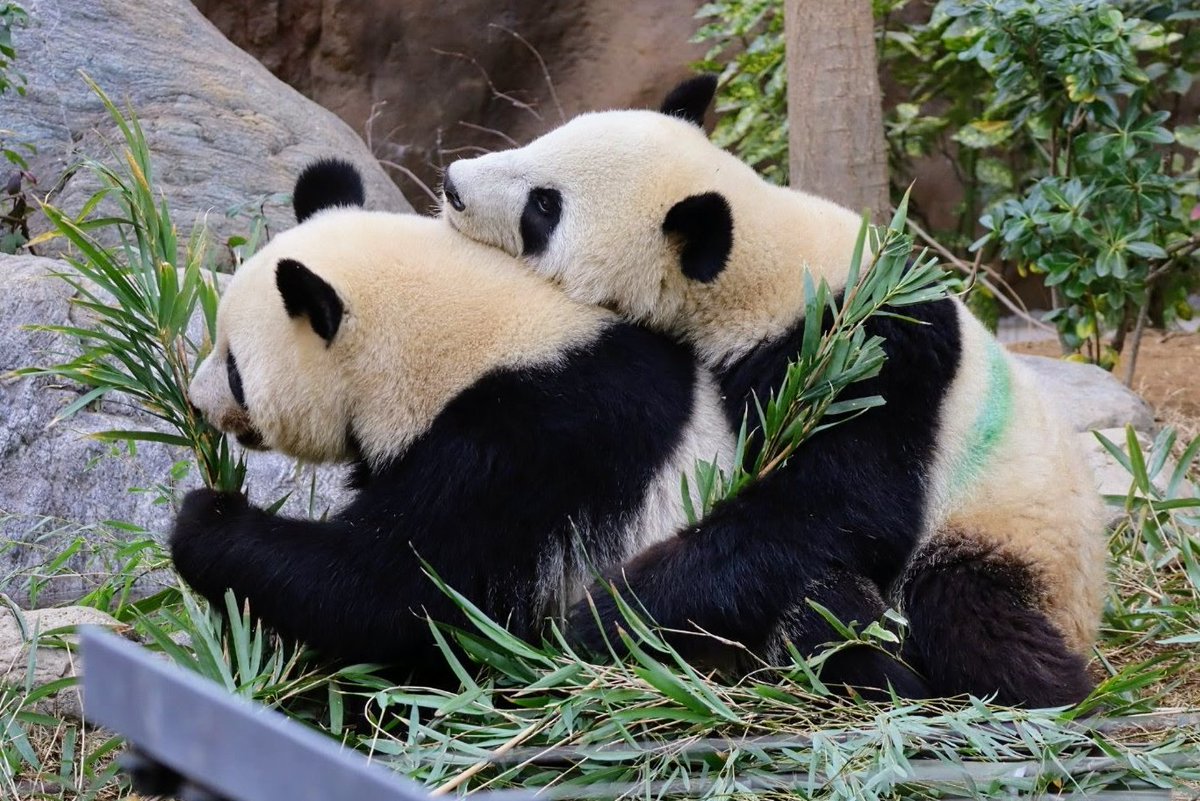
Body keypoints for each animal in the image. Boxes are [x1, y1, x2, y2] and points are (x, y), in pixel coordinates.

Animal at [439, 76, 1104, 705]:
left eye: (544, 207)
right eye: (544, 138)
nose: (452, 184)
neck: (770, 267)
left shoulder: (867, 359)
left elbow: (831, 509)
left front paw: (600, 615)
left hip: (1011, 539)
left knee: (965, 611)